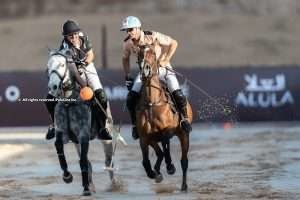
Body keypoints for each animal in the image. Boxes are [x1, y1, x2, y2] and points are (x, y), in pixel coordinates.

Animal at [47, 50, 114, 195]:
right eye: (47, 67)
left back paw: (114, 185)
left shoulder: (84, 134)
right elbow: (59, 146)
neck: (69, 102)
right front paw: (67, 176)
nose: (53, 87)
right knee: (88, 162)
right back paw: (92, 185)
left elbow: (83, 161)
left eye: (62, 65)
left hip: (106, 139)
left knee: (108, 162)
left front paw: (86, 189)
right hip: (76, 142)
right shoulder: (62, 132)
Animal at [135, 45, 192, 191]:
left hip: (184, 134)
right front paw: (154, 173)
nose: (145, 69)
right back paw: (157, 170)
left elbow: (166, 144)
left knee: (184, 161)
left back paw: (184, 185)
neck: (152, 103)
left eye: (153, 53)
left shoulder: (167, 131)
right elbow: (145, 160)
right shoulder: (144, 137)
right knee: (160, 152)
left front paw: (170, 166)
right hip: (153, 139)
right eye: (139, 53)